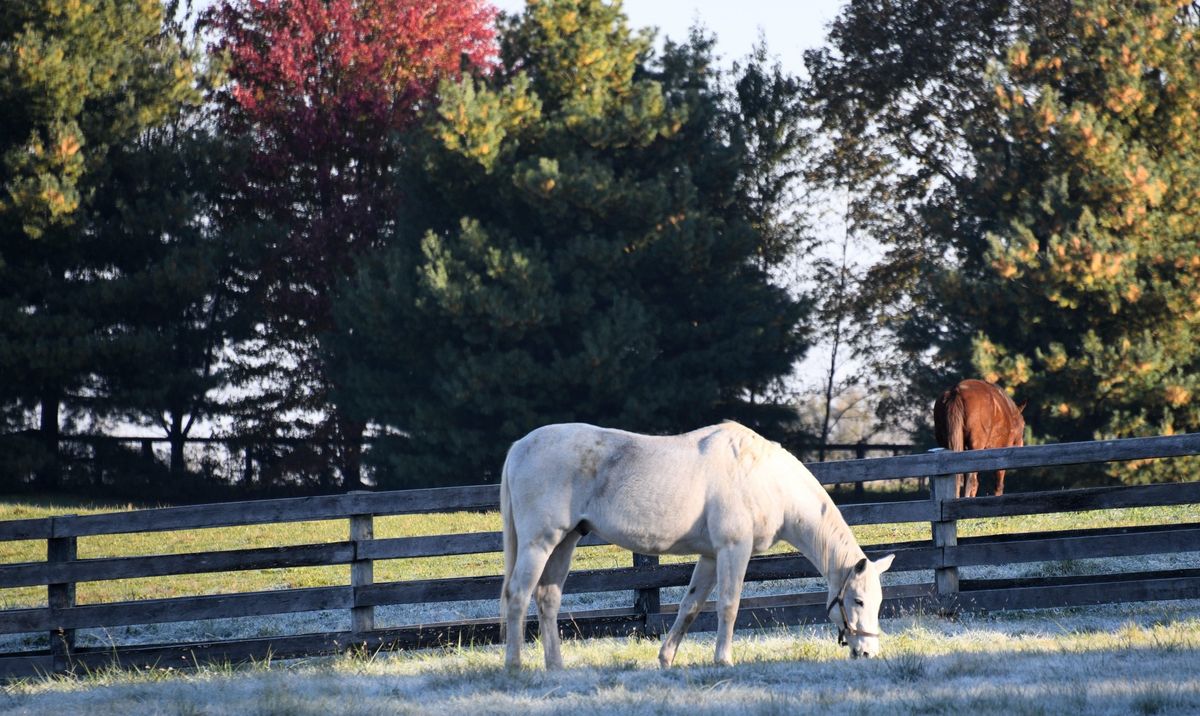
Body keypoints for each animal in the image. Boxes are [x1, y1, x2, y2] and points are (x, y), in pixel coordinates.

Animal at [494, 422, 892, 666]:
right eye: (858, 600)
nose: (869, 651)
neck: (765, 478)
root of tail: (519, 447)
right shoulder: (734, 549)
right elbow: (728, 606)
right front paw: (723, 660)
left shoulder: (711, 557)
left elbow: (690, 606)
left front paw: (666, 659)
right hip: (539, 543)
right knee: (518, 595)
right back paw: (515, 665)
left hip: (565, 542)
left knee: (548, 599)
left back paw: (556, 666)